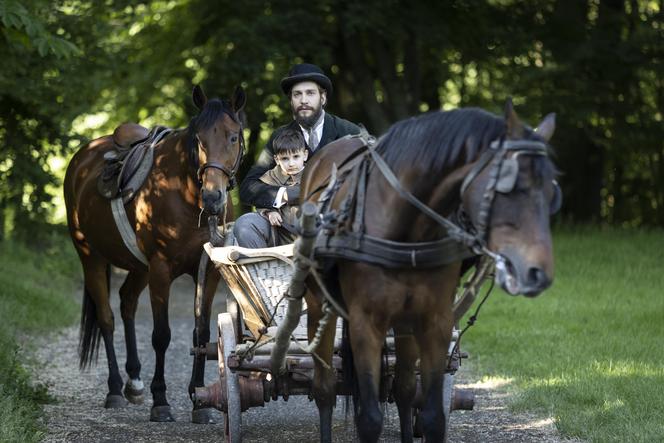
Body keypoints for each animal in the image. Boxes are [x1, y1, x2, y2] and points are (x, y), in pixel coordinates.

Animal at [61, 84, 244, 424]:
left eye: (233, 137)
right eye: (199, 139)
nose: (213, 197)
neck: (186, 195)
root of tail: (82, 159)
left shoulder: (208, 271)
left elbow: (201, 332)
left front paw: (200, 401)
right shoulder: (161, 270)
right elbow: (161, 335)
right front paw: (161, 401)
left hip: (139, 268)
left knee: (127, 303)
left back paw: (134, 382)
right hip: (91, 256)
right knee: (106, 318)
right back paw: (115, 389)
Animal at [298, 101, 556, 443]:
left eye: (552, 192)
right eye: (511, 187)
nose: (538, 273)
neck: (407, 230)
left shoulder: (434, 321)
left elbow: (432, 415)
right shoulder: (366, 322)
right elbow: (369, 419)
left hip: (404, 324)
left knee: (405, 389)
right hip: (318, 305)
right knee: (325, 388)